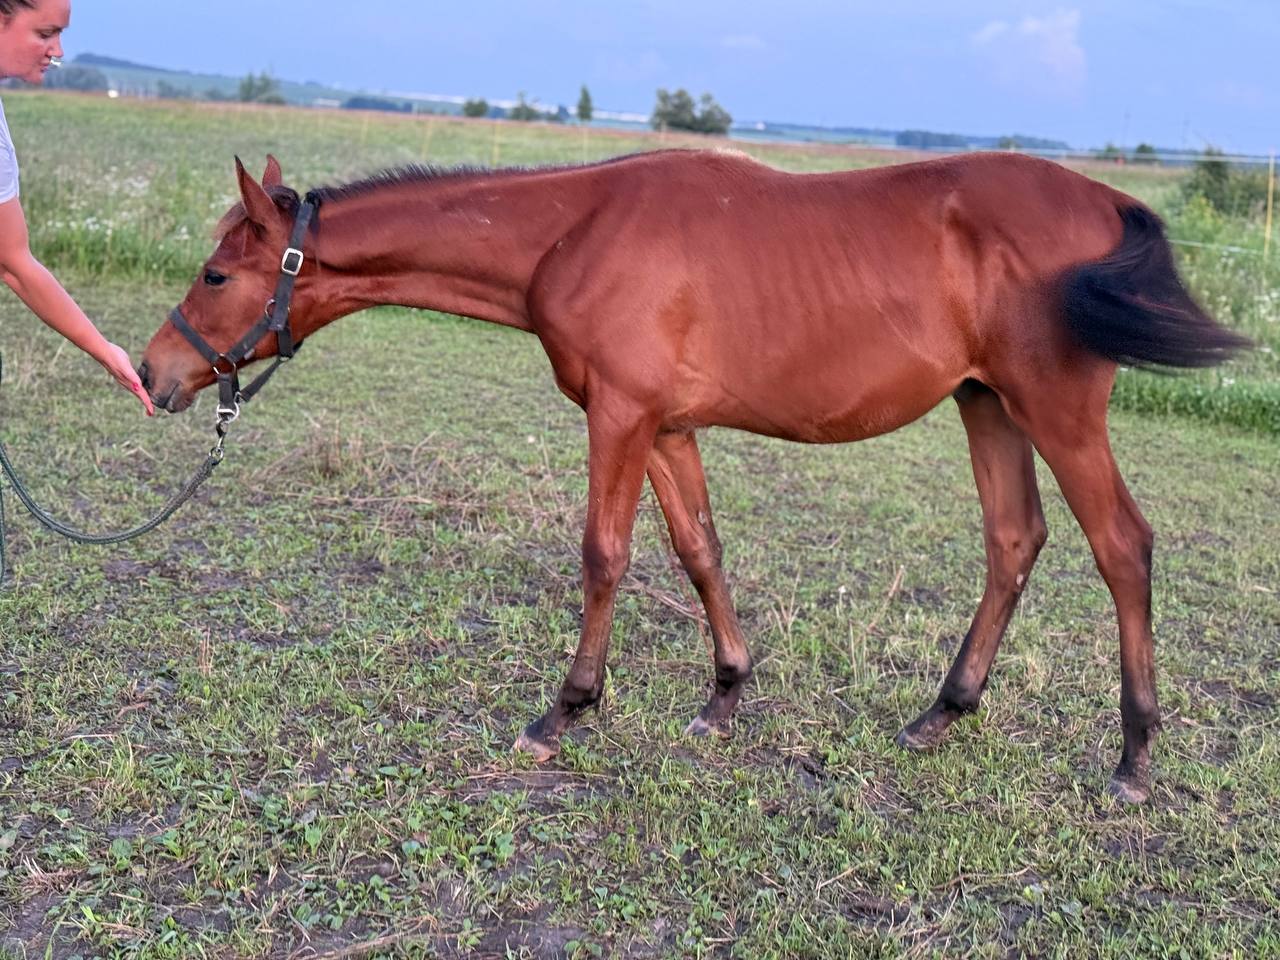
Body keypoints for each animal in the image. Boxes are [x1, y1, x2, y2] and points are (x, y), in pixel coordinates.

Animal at [138, 149, 1246, 804]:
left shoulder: (621, 418)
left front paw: (563, 711)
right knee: (1013, 540)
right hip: (987, 404)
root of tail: (1104, 199)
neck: (572, 228)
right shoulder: (666, 428)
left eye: (218, 273)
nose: (154, 373)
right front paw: (724, 695)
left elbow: (603, 555)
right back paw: (942, 713)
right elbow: (697, 549)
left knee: (1121, 547)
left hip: (1053, 408)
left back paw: (1133, 758)